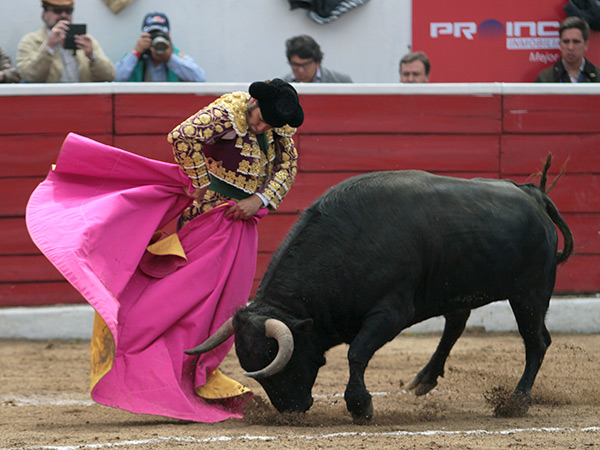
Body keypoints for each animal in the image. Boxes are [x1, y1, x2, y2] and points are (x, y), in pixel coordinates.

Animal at [186, 163, 572, 422]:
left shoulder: (391, 313)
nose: (290, 410)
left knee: (536, 341)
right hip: (463, 288)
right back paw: (423, 380)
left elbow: (356, 353)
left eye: (278, 358)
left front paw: (361, 406)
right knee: (457, 324)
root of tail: (534, 194)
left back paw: (518, 402)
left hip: (530, 292)